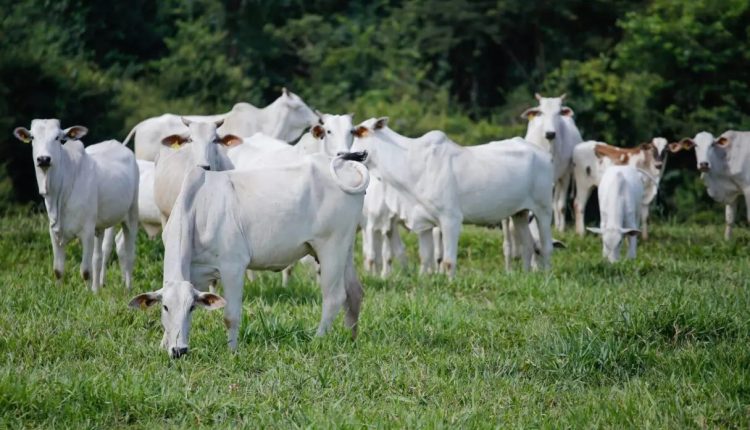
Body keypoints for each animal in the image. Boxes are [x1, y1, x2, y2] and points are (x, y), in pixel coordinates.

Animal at [12, 119, 140, 290]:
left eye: (58, 138)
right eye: (32, 137)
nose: (44, 159)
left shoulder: (86, 232)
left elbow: (85, 271)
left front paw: (87, 294)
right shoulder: (54, 232)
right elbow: (58, 270)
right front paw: (60, 291)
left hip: (131, 215)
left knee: (129, 253)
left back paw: (127, 288)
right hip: (100, 226)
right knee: (98, 257)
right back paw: (97, 289)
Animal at [132, 153, 374, 358]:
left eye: (191, 307)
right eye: (165, 307)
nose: (179, 350)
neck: (197, 209)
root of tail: (344, 164)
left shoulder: (233, 267)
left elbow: (230, 316)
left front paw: (232, 352)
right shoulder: (196, 273)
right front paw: (163, 345)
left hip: (331, 246)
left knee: (334, 297)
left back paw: (318, 339)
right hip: (345, 247)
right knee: (354, 292)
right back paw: (352, 339)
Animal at [350, 118, 556, 278]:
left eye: (359, 132)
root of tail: (545, 155)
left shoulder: (451, 219)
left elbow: (448, 261)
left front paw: (450, 281)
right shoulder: (423, 223)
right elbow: (425, 257)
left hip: (543, 209)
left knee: (546, 245)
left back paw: (546, 276)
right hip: (520, 213)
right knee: (528, 245)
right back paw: (526, 274)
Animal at [524, 92, 588, 230]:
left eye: (559, 112)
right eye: (540, 112)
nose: (550, 134)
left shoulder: (565, 175)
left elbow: (561, 205)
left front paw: (561, 229)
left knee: (556, 202)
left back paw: (558, 225)